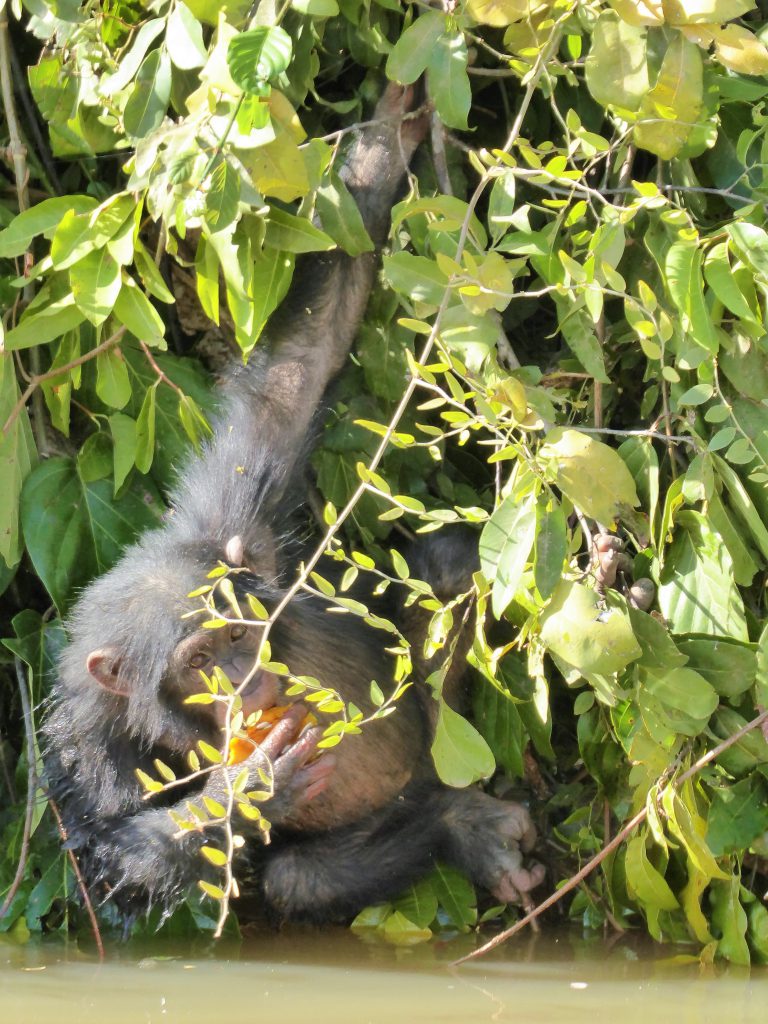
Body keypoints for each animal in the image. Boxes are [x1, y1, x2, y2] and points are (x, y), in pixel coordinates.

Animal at [43, 83, 548, 925]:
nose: (247, 674)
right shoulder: (84, 736)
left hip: (436, 738)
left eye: (239, 630)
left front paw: (392, 130)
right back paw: (457, 828)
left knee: (448, 574)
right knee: (293, 878)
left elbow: (293, 376)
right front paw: (247, 789)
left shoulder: (237, 519)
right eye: (201, 660)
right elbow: (110, 858)